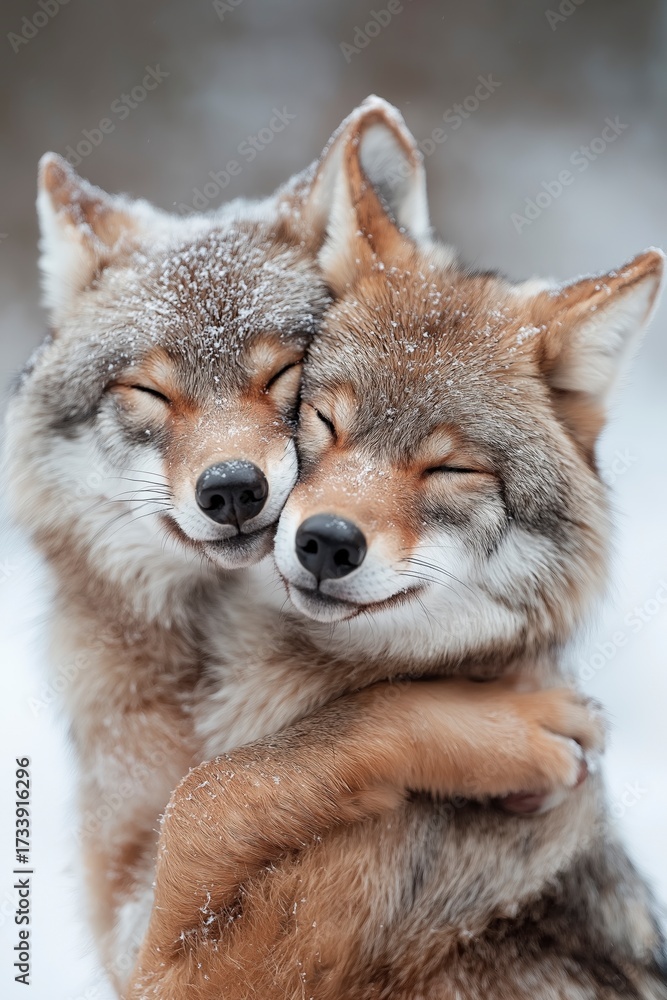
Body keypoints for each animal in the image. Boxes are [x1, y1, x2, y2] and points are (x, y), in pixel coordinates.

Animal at [127, 110, 667, 997]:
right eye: (322, 420)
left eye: (450, 469)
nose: (325, 540)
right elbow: (221, 784)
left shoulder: (185, 973)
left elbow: (205, 795)